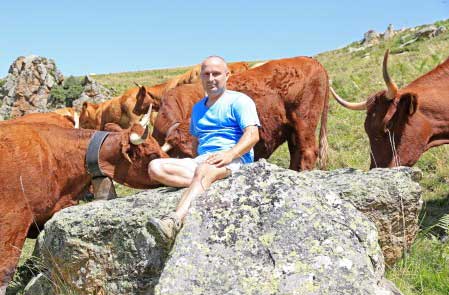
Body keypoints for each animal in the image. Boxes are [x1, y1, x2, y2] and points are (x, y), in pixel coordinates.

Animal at [135, 57, 328, 171]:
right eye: (186, 154)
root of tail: (312, 61)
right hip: (293, 130)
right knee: (296, 153)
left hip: (304, 121)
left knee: (308, 152)